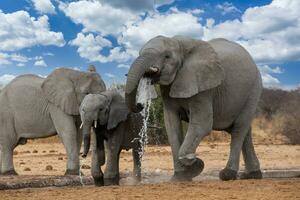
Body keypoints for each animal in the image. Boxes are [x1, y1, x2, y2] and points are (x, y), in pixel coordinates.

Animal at [124, 35, 262, 181]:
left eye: (167, 56)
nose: (140, 105)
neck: (179, 44)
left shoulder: (203, 86)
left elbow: (202, 125)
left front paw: (194, 164)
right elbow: (171, 125)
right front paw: (180, 177)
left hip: (253, 90)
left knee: (239, 130)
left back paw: (227, 174)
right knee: (244, 131)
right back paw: (252, 175)